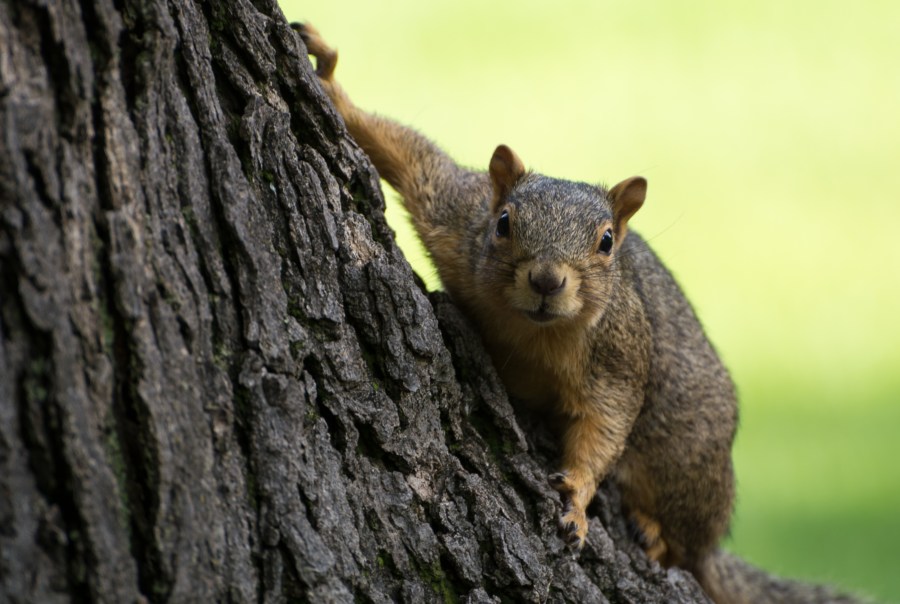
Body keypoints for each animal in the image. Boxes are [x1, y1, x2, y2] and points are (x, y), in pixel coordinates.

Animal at [294, 22, 856, 604]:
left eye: (607, 241)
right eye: (503, 222)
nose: (546, 280)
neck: (530, 329)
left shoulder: (617, 355)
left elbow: (604, 424)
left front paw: (578, 500)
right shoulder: (457, 216)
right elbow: (411, 157)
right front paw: (330, 82)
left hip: (686, 455)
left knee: (690, 548)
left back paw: (659, 537)